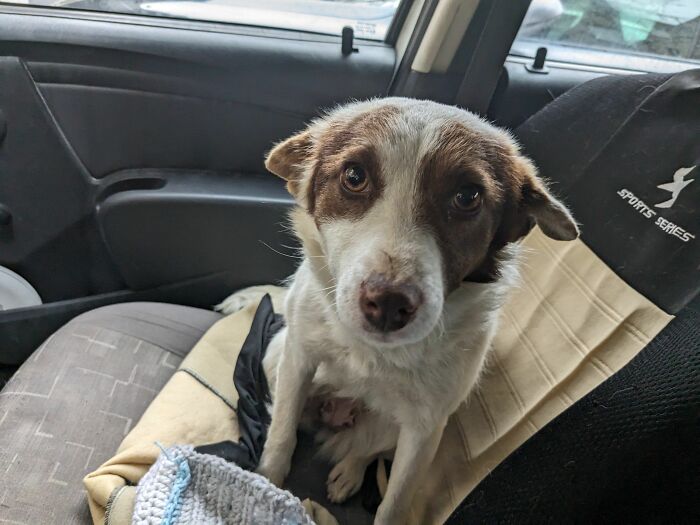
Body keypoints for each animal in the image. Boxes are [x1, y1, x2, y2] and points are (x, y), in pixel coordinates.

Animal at [220, 97, 580, 520]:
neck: (371, 351)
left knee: (367, 450)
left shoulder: (425, 428)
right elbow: (281, 437)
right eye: (354, 176)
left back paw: (349, 472)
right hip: (276, 357)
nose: (388, 304)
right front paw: (264, 485)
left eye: (468, 197)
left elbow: (394, 503)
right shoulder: (298, 361)